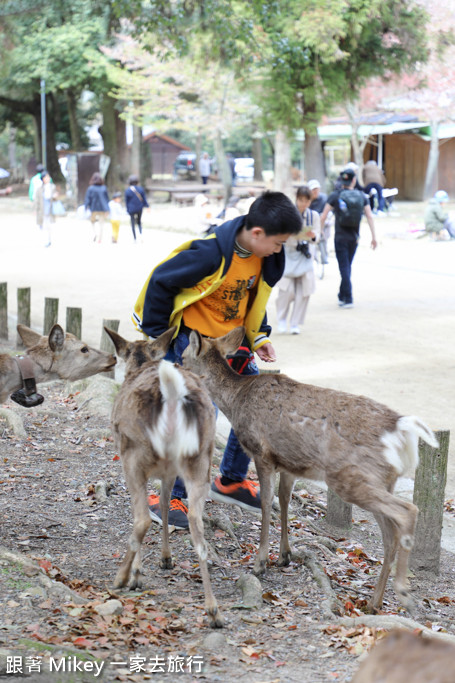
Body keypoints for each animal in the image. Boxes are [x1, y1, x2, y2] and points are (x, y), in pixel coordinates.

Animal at [104, 326, 224, 632]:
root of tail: (172, 398)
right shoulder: (170, 471)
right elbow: (166, 504)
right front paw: (166, 558)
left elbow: (148, 511)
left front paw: (138, 574)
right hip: (200, 459)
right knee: (196, 526)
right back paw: (213, 611)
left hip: (134, 454)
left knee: (142, 519)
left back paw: (120, 578)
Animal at [183, 326, 442, 616]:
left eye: (182, 357)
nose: (172, 369)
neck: (236, 401)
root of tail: (402, 431)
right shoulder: (290, 463)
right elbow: (284, 500)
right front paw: (284, 555)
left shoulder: (262, 454)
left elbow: (266, 502)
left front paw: (260, 562)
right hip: (381, 479)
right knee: (390, 534)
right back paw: (374, 602)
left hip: (349, 477)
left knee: (407, 511)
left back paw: (404, 593)